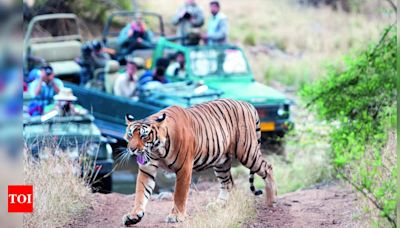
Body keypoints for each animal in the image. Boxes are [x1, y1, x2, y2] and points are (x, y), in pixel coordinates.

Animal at [122, 98, 276, 226]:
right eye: (130, 135)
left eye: (144, 136)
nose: (132, 149)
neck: (157, 150)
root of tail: (247, 104)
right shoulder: (147, 169)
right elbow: (141, 192)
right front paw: (134, 215)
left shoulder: (184, 168)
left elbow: (179, 194)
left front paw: (176, 216)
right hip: (221, 162)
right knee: (228, 183)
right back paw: (218, 205)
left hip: (247, 152)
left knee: (268, 168)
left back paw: (271, 200)